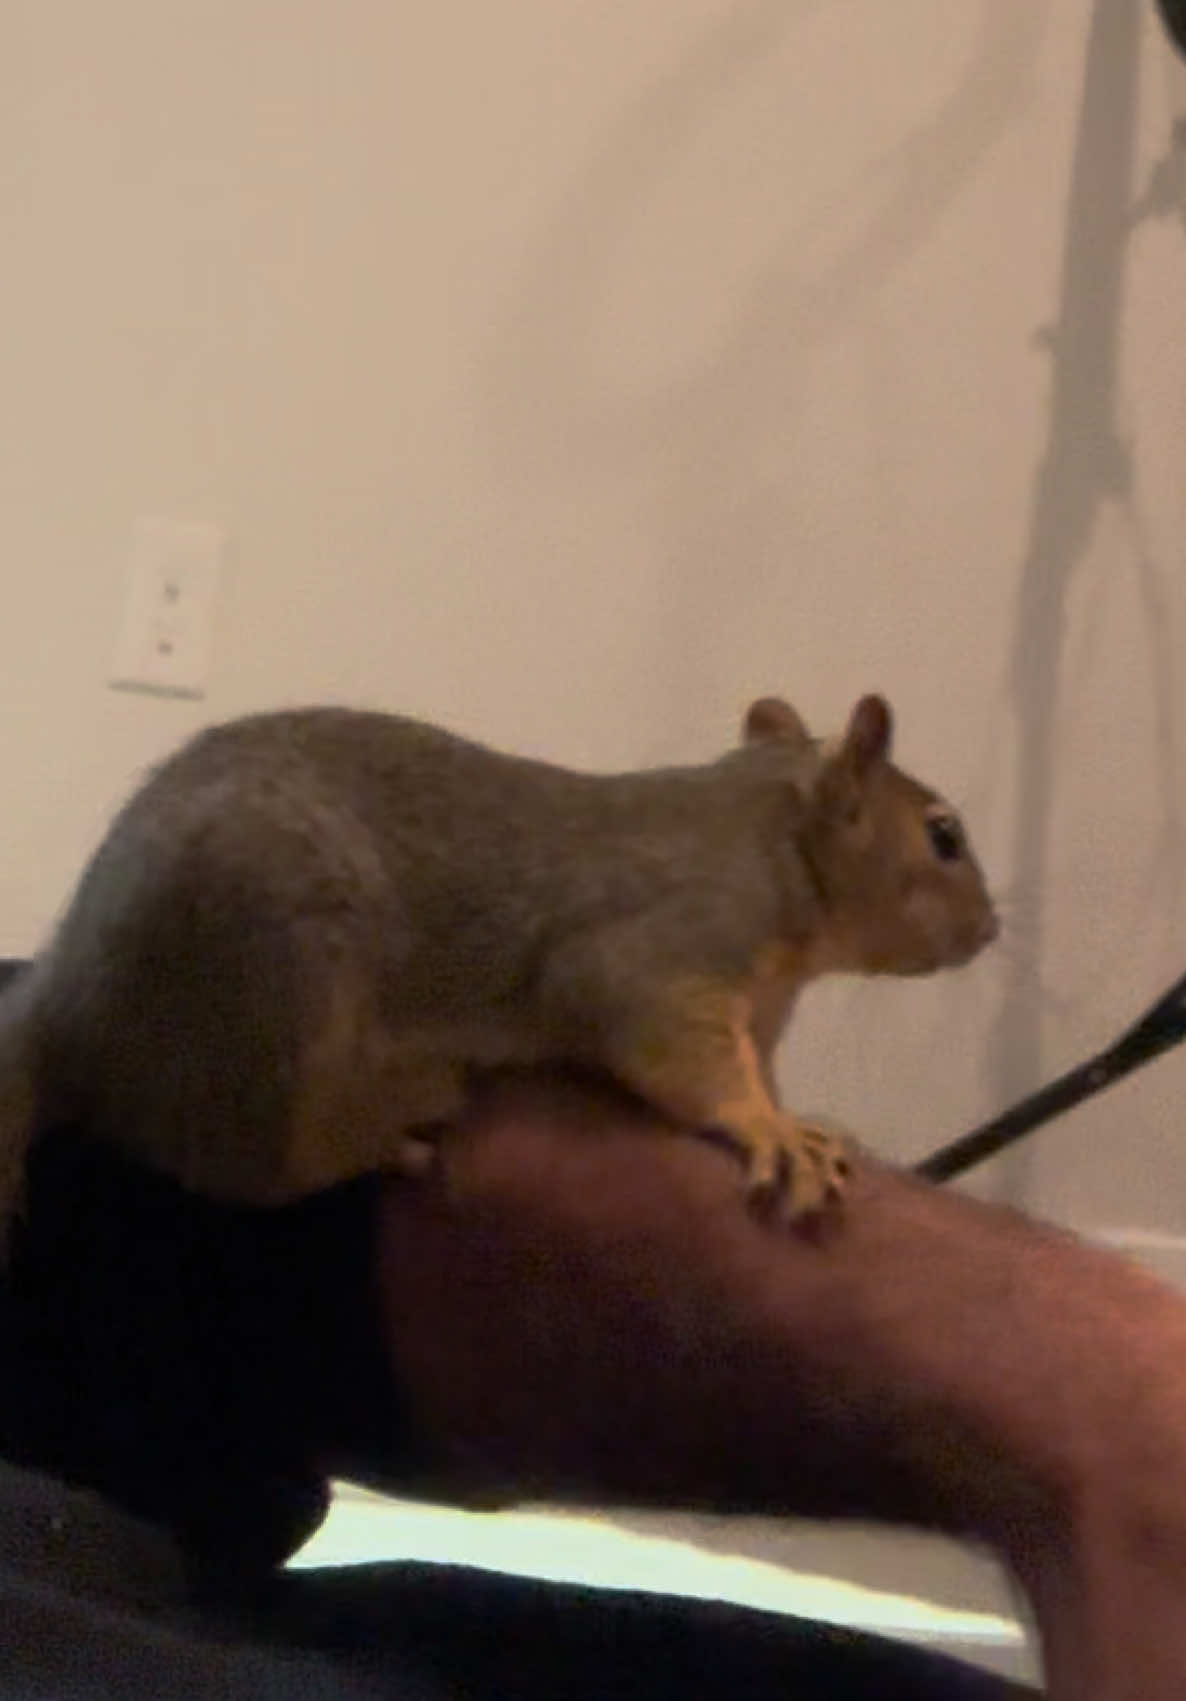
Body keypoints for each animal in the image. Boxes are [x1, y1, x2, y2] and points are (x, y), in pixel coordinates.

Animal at [0, 691, 996, 1256]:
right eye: (943, 836)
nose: (990, 929)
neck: (769, 840)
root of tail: (65, 1010)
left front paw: (803, 1115)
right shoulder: (657, 951)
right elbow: (672, 1051)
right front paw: (770, 1128)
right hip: (272, 988)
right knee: (253, 1163)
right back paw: (388, 1124)